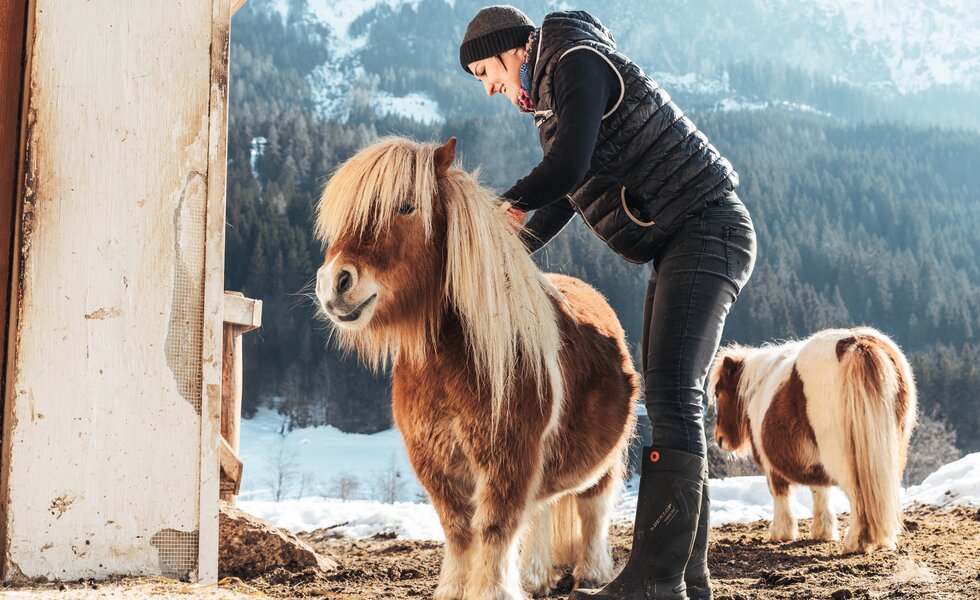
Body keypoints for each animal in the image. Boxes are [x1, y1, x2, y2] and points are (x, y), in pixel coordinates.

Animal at [313, 137, 639, 599]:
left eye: (407, 207)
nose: (335, 284)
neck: (451, 362)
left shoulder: (508, 458)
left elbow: (494, 529)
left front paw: (491, 590)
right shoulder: (433, 460)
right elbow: (459, 530)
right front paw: (454, 590)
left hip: (602, 463)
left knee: (592, 507)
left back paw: (590, 575)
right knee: (542, 511)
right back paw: (536, 579)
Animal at [708, 326, 917, 554]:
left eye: (718, 393)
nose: (720, 439)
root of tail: (857, 344)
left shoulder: (769, 464)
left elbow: (779, 493)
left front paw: (781, 533)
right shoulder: (816, 463)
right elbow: (820, 490)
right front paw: (822, 531)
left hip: (841, 456)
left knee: (857, 496)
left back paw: (854, 542)